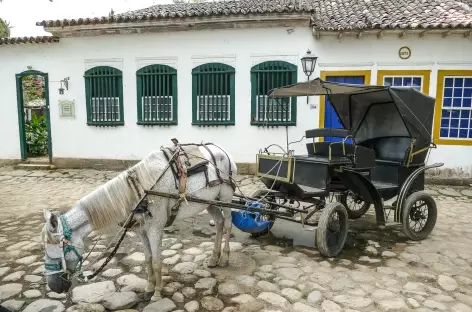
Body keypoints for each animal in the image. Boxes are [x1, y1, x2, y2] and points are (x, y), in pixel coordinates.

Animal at [41, 143, 236, 302]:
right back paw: (214, 257)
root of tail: (223, 150)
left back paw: (225, 257)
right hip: (210, 202)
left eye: (59, 247)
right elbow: (148, 259)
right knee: (219, 223)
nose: (53, 286)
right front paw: (149, 288)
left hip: (226, 197)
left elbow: (157, 261)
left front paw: (157, 293)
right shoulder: (142, 231)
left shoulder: (155, 229)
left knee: (227, 224)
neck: (139, 191)